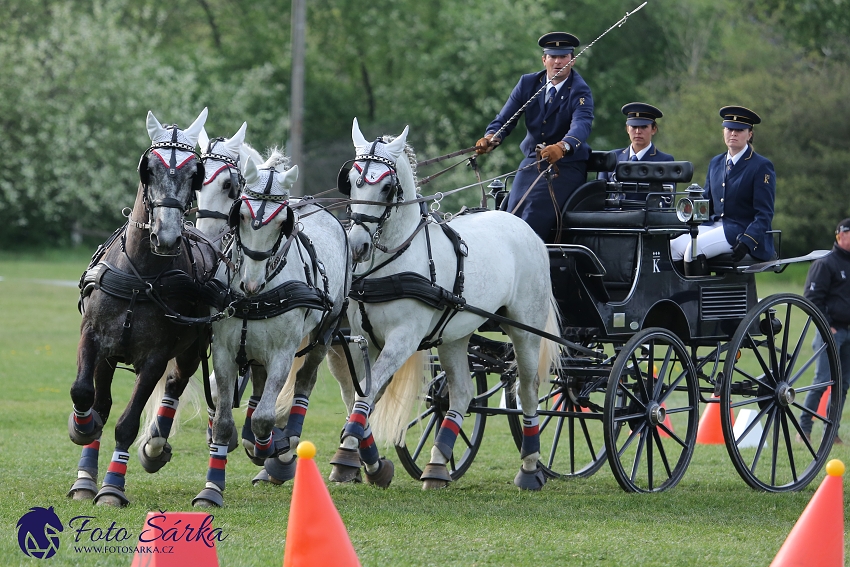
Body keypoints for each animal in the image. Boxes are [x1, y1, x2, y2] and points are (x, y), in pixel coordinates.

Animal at [332, 117, 564, 490]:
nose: (357, 246)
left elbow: (366, 396)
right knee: (462, 393)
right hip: (455, 336)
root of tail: (523, 226)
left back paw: (530, 468)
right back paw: (438, 464)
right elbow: (363, 395)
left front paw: (348, 456)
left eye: (386, 188)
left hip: (525, 329)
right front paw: (369, 462)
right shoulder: (361, 338)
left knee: (527, 389)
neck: (396, 260)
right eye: (352, 182)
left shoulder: (403, 339)